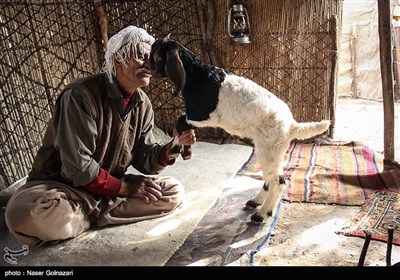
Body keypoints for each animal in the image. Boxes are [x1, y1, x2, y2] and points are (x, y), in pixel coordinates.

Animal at [148, 38, 330, 223]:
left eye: (155, 55)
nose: (146, 67)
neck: (197, 75)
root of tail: (292, 125)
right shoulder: (197, 117)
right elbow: (181, 125)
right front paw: (184, 150)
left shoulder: (203, 116)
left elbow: (179, 122)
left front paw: (178, 148)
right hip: (267, 149)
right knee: (269, 180)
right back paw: (255, 202)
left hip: (269, 149)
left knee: (278, 182)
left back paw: (261, 214)